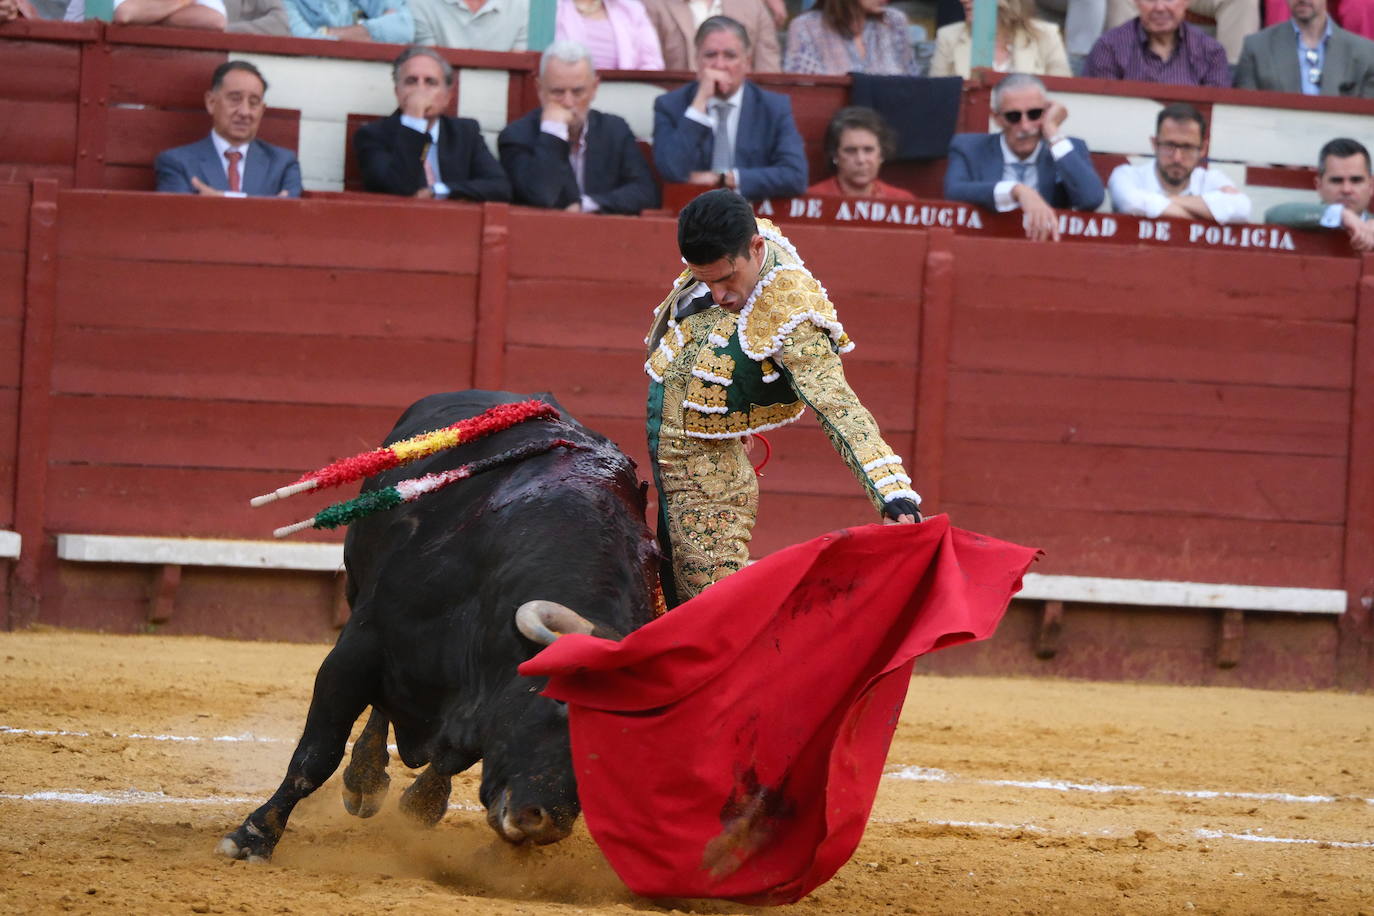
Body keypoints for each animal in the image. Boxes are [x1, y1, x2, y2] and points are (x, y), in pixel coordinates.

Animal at [218, 392, 659, 862]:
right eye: (558, 702)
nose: (543, 824)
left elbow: (453, 755)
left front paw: (422, 804)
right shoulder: (359, 649)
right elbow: (316, 756)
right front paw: (253, 836)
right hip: (355, 589)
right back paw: (364, 782)